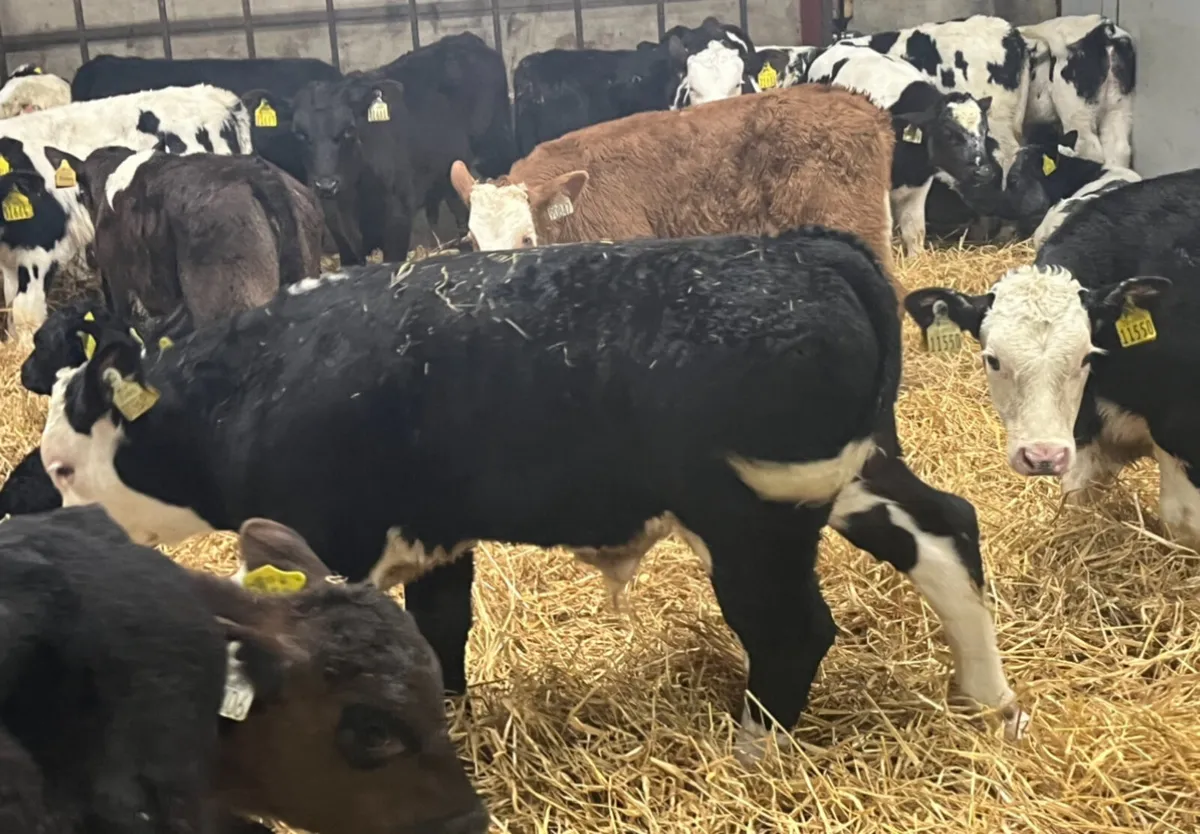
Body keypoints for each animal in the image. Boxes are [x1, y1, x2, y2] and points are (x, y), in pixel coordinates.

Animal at [37, 227, 1024, 754]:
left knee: (795, 632)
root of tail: (809, 248)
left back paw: (752, 747)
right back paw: (989, 698)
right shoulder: (435, 538)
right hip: (854, 478)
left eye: (60, 467)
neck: (256, 387)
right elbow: (436, 637)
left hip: (753, 522)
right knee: (947, 531)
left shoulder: (333, 545)